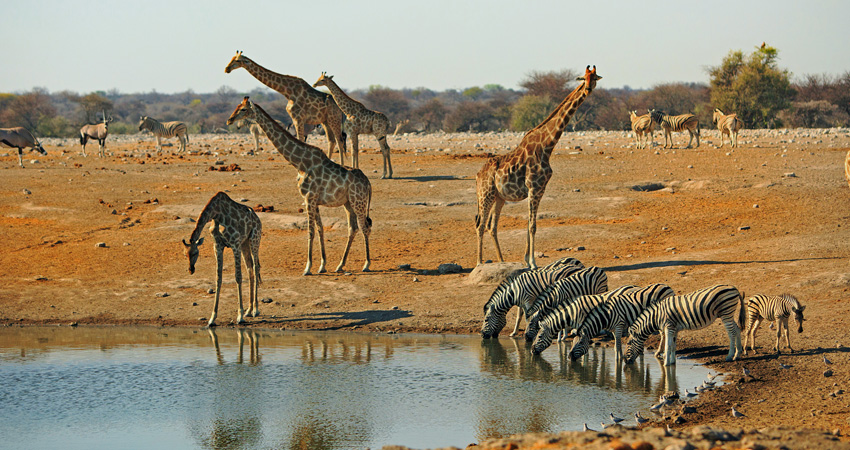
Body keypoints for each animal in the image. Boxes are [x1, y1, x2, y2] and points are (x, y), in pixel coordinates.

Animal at [184, 191, 264, 326]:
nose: (191, 269)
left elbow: (238, 277)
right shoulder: (217, 246)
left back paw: (255, 310)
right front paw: (212, 318)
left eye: (195, 253)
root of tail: (257, 218)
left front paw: (239, 316)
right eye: (185, 254)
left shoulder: (235, 244)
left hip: (254, 238)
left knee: (255, 267)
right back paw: (249, 310)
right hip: (245, 243)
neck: (216, 214)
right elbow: (218, 278)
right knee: (250, 269)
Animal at [225, 96, 372, 276]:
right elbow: (320, 229)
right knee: (353, 228)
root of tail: (368, 183)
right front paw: (322, 265)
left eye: (243, 109)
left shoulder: (309, 198)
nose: (230, 120)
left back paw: (366, 264)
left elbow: (310, 231)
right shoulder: (314, 200)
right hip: (348, 203)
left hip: (359, 201)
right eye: (237, 106)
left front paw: (307, 268)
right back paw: (340, 265)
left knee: (364, 226)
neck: (300, 163)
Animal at [474, 65, 600, 268]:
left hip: (499, 197)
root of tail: (478, 175)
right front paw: (533, 262)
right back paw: (480, 263)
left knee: (491, 226)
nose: (588, 88)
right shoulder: (534, 186)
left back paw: (502, 261)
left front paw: (527, 260)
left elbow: (529, 224)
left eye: (594, 77)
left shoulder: (539, 189)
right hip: (485, 195)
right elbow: (532, 225)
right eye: (584, 77)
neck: (548, 145)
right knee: (480, 225)